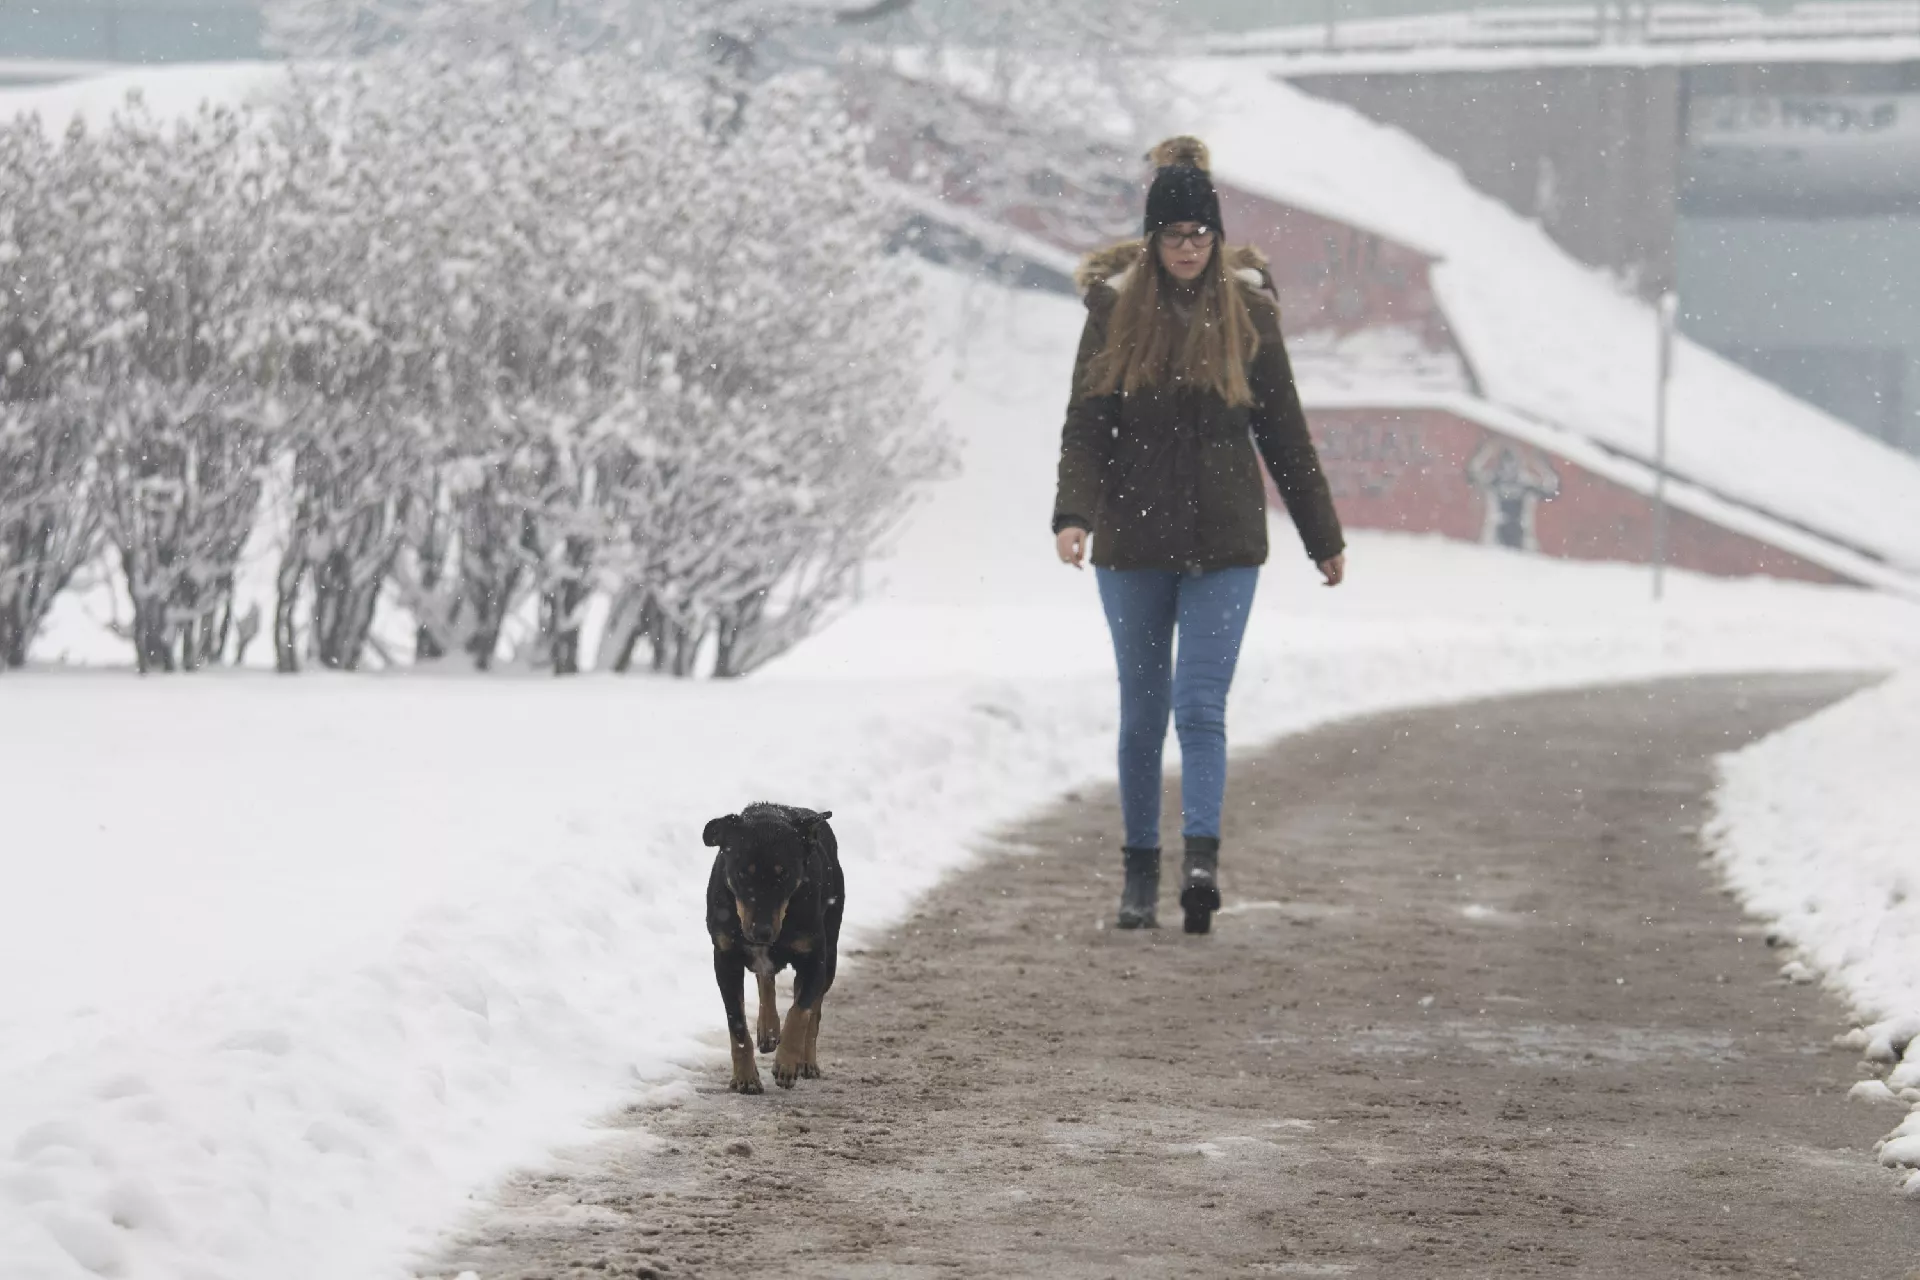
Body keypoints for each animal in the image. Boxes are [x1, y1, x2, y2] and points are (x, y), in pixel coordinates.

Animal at [704, 803, 843, 1093]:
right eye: (742, 872)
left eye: (784, 874)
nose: (762, 932)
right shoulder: (725, 958)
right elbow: (736, 1022)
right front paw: (745, 1077)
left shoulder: (815, 958)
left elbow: (800, 1012)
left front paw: (787, 1065)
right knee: (765, 978)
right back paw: (767, 1031)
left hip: (832, 951)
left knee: (814, 1009)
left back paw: (806, 1062)